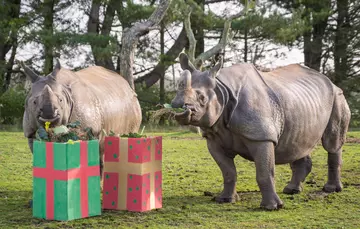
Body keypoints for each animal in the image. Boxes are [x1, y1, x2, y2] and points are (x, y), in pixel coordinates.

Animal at [172, 52, 352, 210]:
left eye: (202, 98)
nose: (177, 106)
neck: (222, 91)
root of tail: (329, 81)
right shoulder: (214, 138)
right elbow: (228, 171)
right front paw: (225, 200)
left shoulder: (261, 136)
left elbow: (265, 172)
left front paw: (272, 207)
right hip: (301, 104)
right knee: (298, 143)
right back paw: (291, 190)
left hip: (337, 96)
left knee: (332, 142)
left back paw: (331, 189)